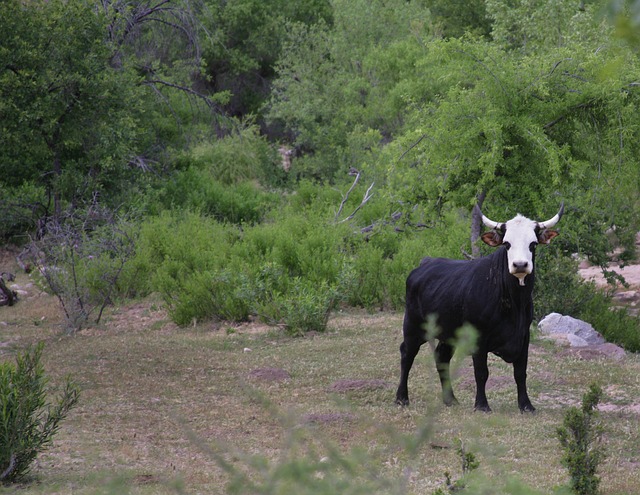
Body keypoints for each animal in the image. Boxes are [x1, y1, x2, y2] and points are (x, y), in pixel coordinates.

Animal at [392, 203, 564, 412]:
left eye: (533, 244)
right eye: (507, 244)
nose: (520, 265)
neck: (513, 303)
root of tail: (425, 262)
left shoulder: (524, 336)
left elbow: (520, 372)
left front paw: (526, 405)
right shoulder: (479, 339)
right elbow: (481, 372)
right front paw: (482, 405)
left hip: (448, 333)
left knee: (441, 357)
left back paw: (450, 399)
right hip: (412, 326)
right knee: (407, 354)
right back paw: (402, 397)